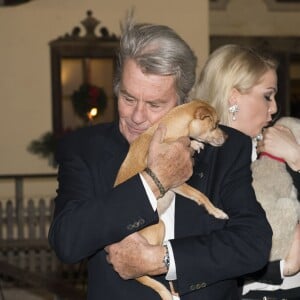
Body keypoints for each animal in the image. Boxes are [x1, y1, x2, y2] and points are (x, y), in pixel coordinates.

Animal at [114, 99, 227, 298]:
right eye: (215, 125)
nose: (227, 137)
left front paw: (194, 144)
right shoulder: (176, 182)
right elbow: (200, 195)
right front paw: (216, 211)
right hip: (159, 227)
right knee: (145, 272)